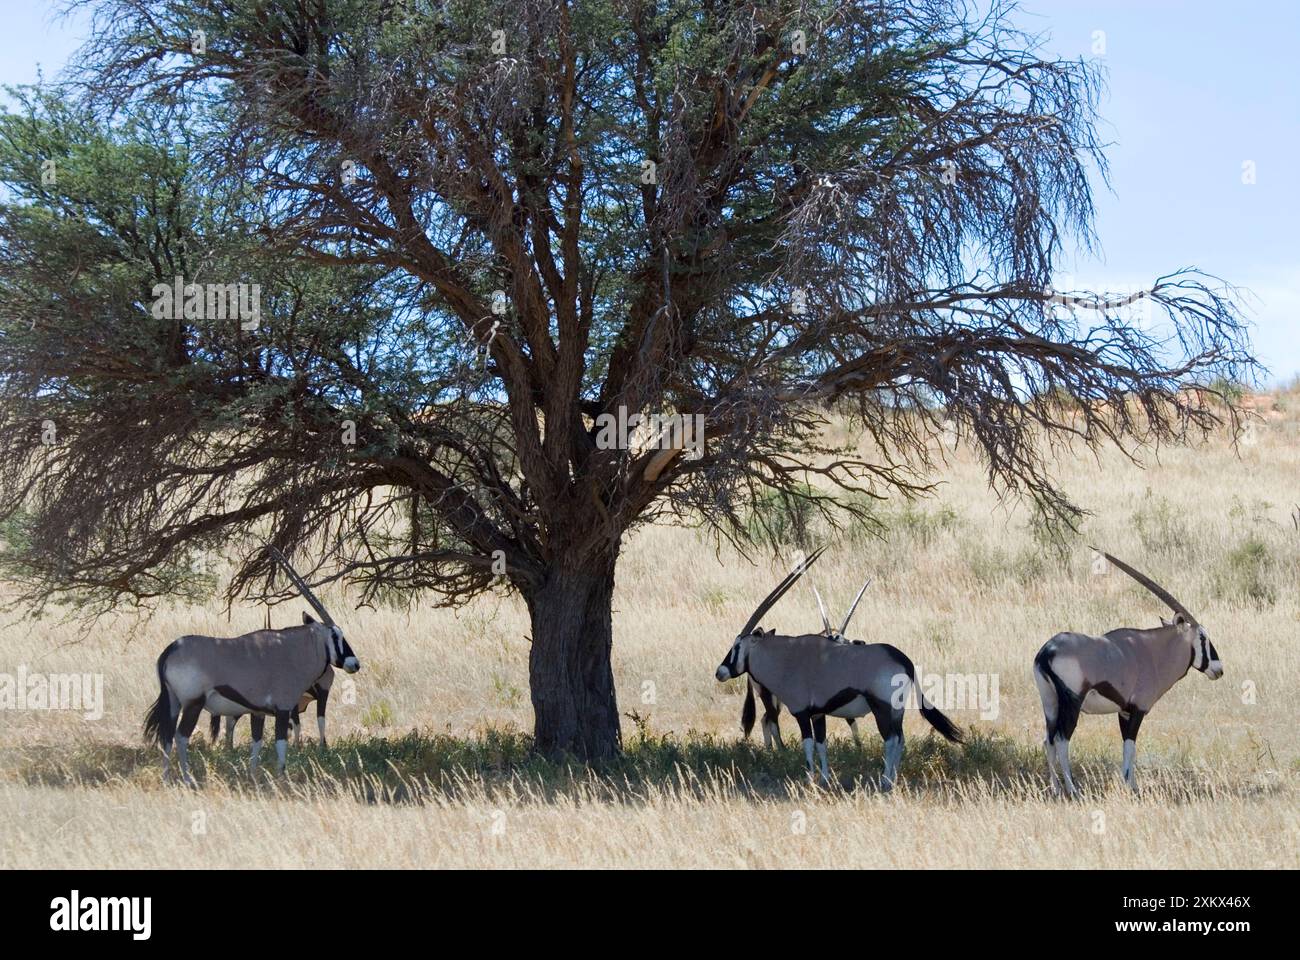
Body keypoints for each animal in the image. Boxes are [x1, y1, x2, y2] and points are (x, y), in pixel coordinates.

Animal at [141, 548, 361, 780]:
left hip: (173, 702)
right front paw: (281, 776)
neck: (293, 650)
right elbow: (280, 744)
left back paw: (166, 778)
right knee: (181, 736)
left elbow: (257, 744)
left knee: (166, 736)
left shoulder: (258, 712)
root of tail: (170, 650)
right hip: (193, 703)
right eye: (336, 635)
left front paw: (253, 776)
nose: (354, 663)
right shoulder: (284, 709)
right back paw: (187, 778)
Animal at [1029, 548, 1222, 796]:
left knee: (1048, 740)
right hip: (1071, 703)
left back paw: (1056, 789)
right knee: (1062, 740)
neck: (1152, 652)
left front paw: (1129, 784)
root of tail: (1047, 652)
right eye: (1202, 637)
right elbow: (1131, 747)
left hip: (1050, 703)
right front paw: (1131, 787)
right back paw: (1073, 790)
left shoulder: (1124, 712)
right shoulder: (1137, 710)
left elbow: (1126, 748)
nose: (1218, 669)